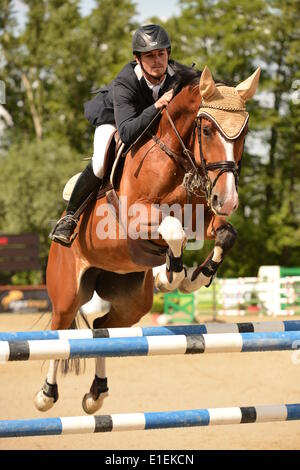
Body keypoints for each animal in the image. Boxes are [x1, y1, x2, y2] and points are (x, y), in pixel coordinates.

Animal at [34, 64, 260, 414]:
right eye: (207, 130)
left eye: (244, 134)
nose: (228, 200)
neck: (176, 158)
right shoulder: (134, 219)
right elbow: (173, 231)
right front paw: (172, 276)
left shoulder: (202, 220)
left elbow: (225, 234)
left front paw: (195, 277)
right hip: (67, 293)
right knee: (60, 332)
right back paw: (46, 394)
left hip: (132, 303)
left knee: (102, 327)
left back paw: (96, 393)